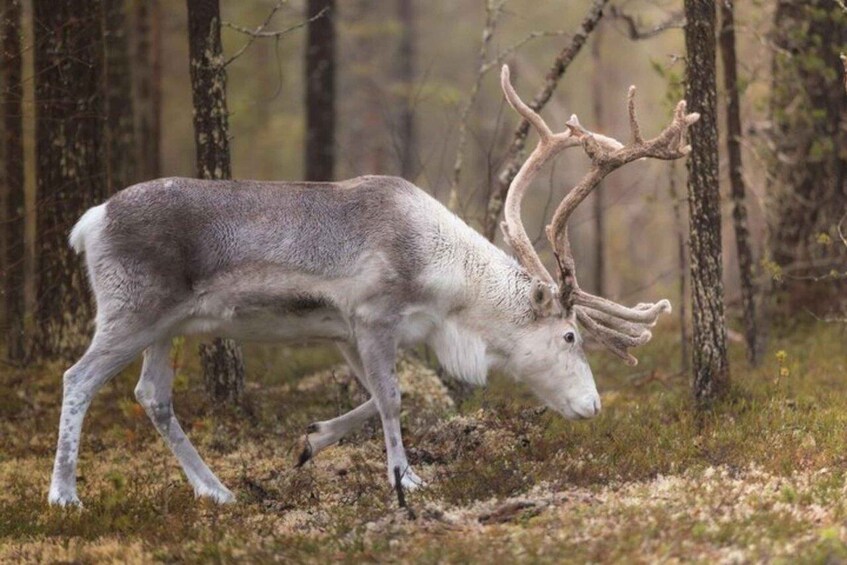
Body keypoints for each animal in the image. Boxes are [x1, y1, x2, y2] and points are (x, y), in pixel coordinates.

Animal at [48, 64, 699, 507]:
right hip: (131, 310)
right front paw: (406, 477)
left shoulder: (346, 331)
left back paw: (216, 491)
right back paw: (65, 495)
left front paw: (311, 441)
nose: (593, 405)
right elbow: (391, 398)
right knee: (77, 377)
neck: (447, 290)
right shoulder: (373, 314)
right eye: (570, 337)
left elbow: (372, 396)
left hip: (167, 324)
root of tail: (90, 222)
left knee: (152, 395)